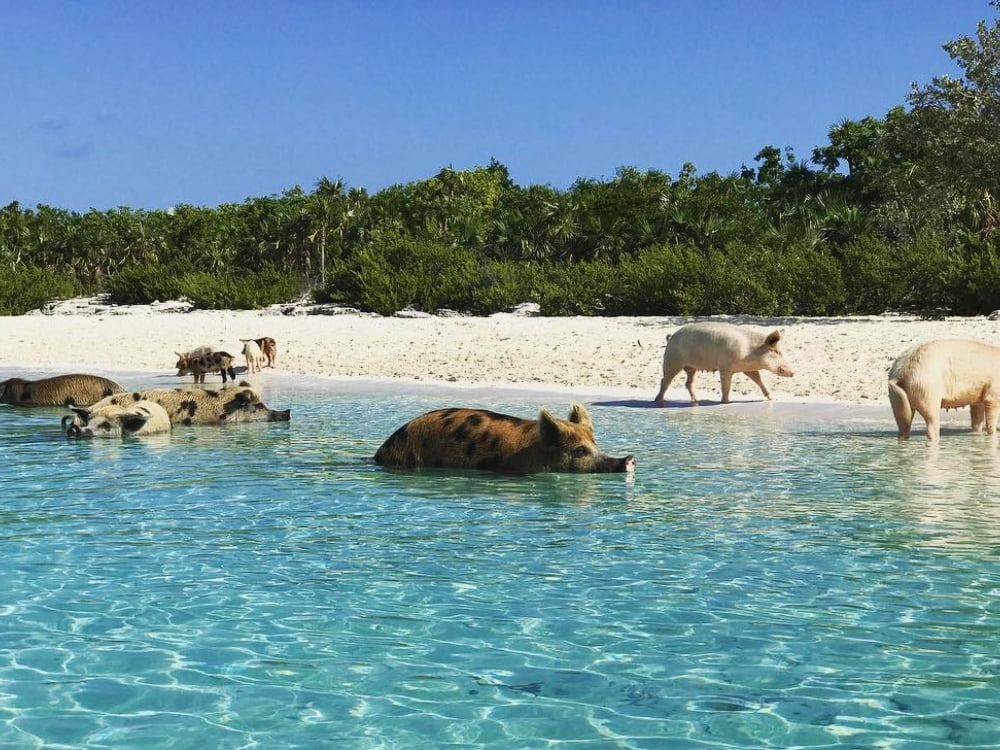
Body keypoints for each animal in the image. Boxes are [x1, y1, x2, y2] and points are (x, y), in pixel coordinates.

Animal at [656, 322, 796, 408]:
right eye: (776, 352)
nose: (793, 372)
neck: (750, 353)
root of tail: (671, 337)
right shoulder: (724, 367)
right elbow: (726, 386)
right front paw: (725, 402)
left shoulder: (748, 369)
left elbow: (758, 380)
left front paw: (771, 397)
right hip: (672, 361)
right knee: (665, 381)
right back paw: (659, 401)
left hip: (691, 367)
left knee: (688, 382)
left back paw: (695, 401)